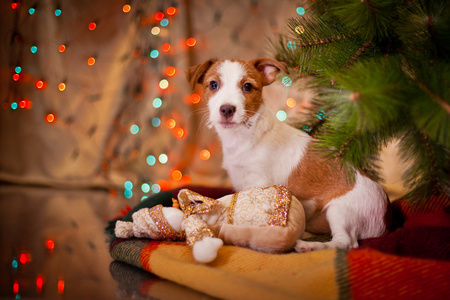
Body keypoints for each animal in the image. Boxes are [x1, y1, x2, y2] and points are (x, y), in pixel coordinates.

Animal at [185, 58, 392, 251]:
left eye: (247, 87)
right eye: (213, 84)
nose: (227, 109)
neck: (243, 136)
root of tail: (386, 217)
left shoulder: (259, 182)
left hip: (340, 210)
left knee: (345, 242)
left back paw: (309, 245)